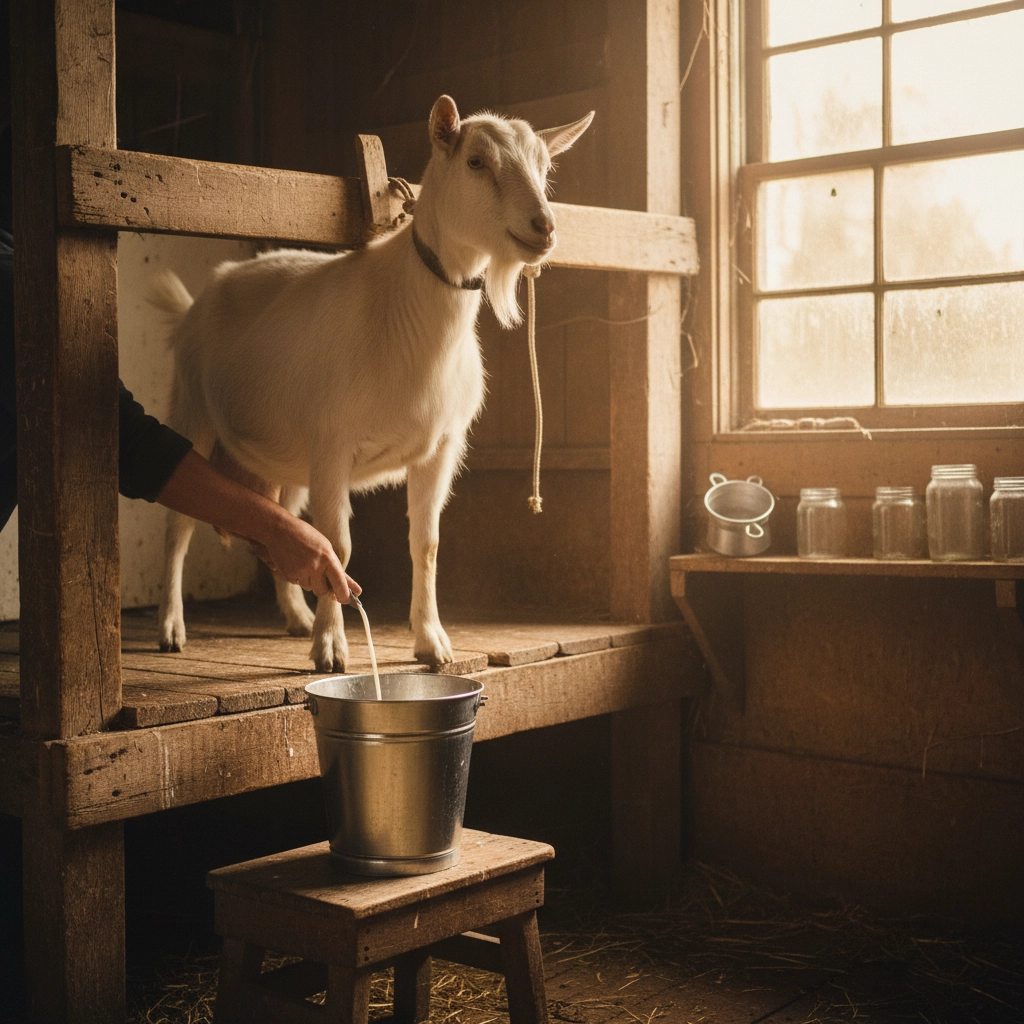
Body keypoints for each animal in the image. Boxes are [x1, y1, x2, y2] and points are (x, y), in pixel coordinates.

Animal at [150, 95, 593, 671]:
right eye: (476, 162)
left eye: (545, 167)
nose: (544, 226)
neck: (406, 312)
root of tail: (197, 302)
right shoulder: (333, 445)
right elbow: (336, 547)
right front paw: (331, 648)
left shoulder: (438, 447)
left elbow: (425, 543)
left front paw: (431, 642)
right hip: (194, 413)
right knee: (177, 529)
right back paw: (171, 627)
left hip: (290, 458)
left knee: (281, 518)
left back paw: (295, 616)